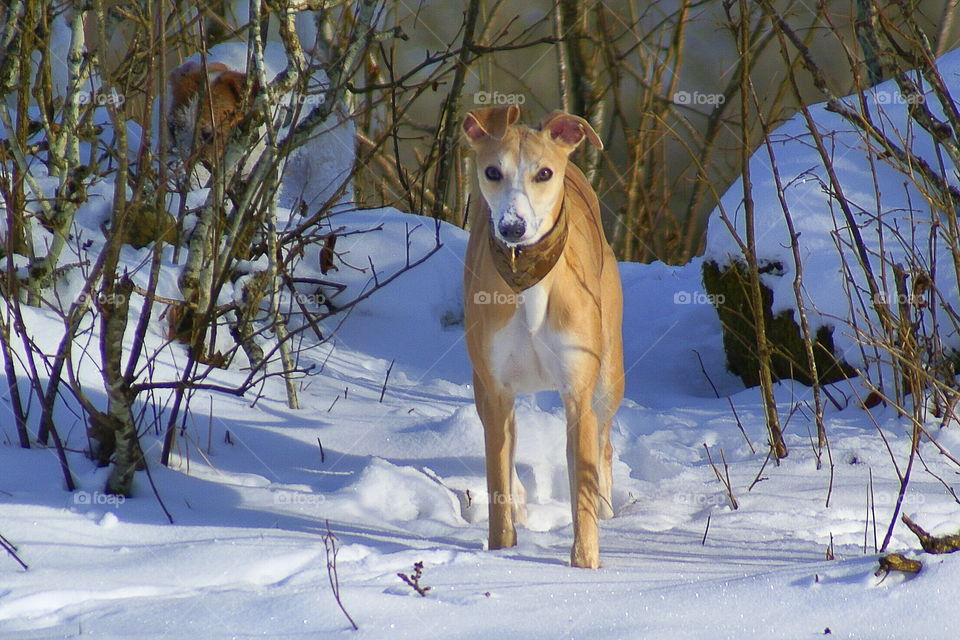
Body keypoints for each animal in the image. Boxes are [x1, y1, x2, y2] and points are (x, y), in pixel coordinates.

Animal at [464, 106, 628, 568]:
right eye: (492, 171)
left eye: (543, 173)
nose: (513, 227)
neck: (529, 279)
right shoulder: (496, 389)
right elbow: (497, 479)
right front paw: (502, 549)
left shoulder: (578, 392)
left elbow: (582, 487)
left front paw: (585, 563)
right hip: (486, 389)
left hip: (608, 374)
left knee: (603, 444)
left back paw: (606, 506)